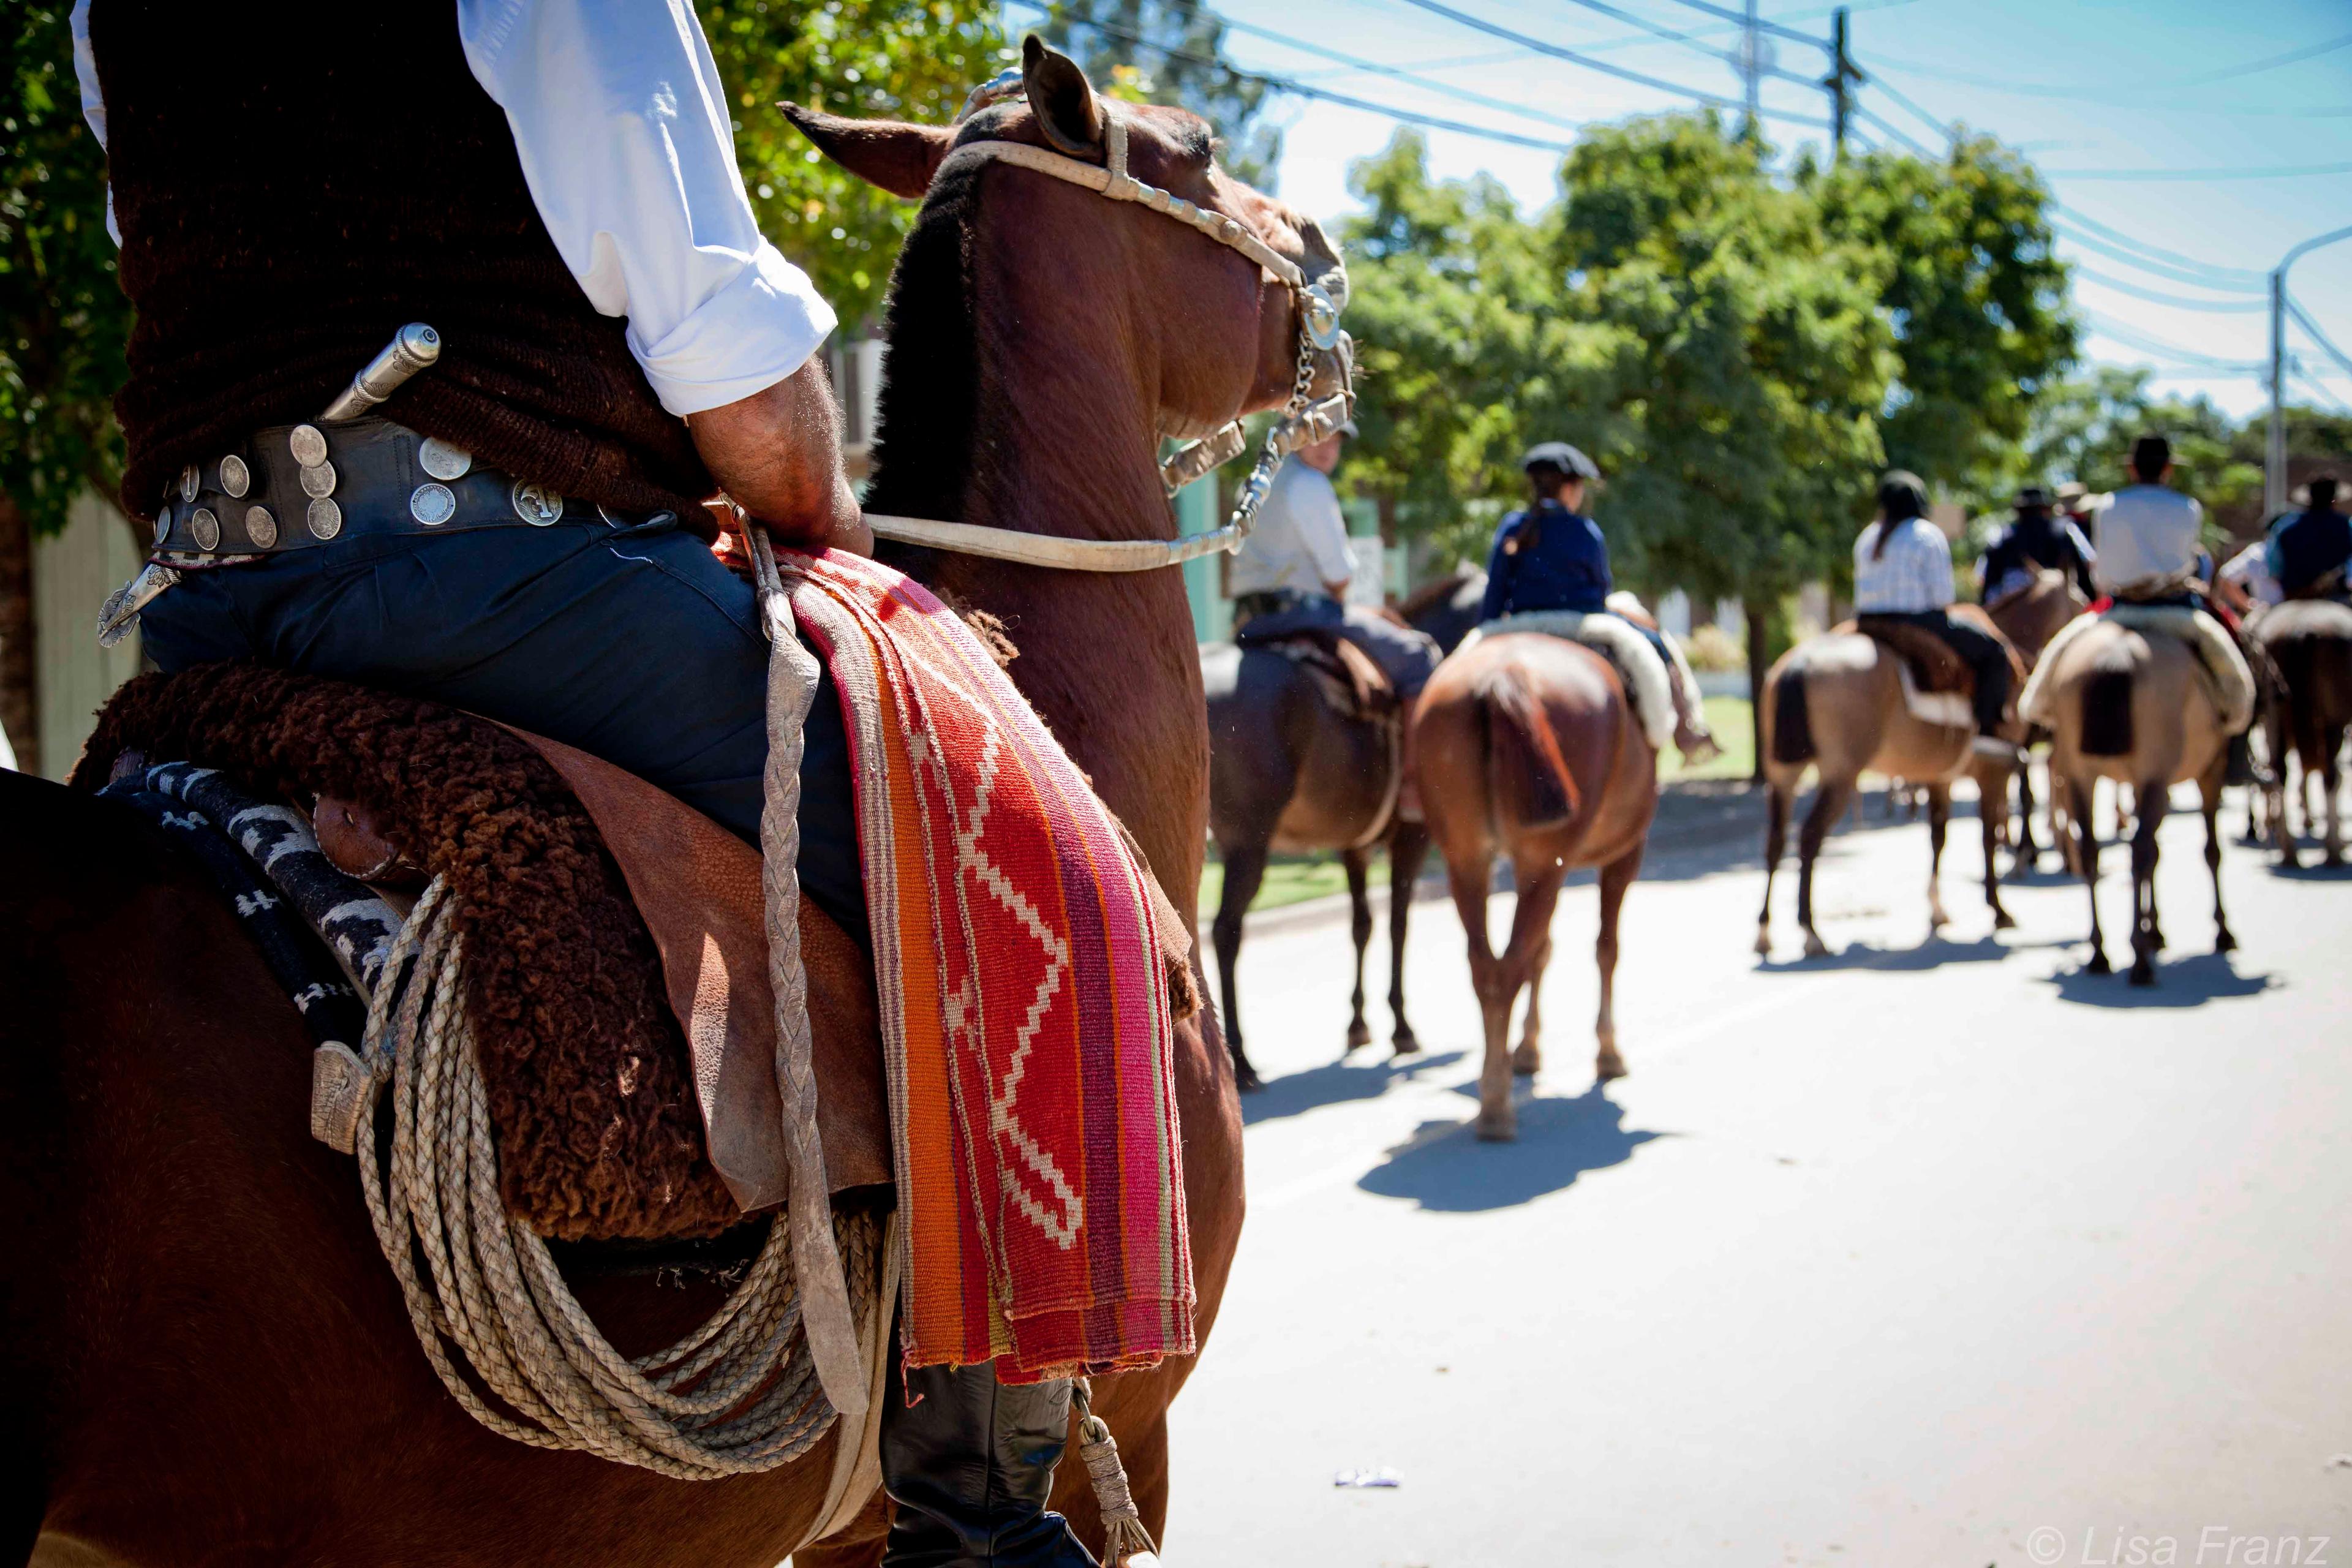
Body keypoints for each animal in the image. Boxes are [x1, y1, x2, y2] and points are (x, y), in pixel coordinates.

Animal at [1401, 635, 1665, 1142]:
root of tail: (1501, 678)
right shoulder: (1625, 853)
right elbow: (1606, 948)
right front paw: (1608, 1052)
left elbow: (1543, 951)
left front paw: (1526, 1048)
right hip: (1546, 862)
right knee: (1511, 966)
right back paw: (1498, 1105)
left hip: (1467, 862)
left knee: (1488, 966)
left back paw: (1495, 1083)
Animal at [1759, 611, 2032, 959]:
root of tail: (1800, 663)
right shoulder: (1993, 775)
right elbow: (1986, 839)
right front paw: (1997, 909)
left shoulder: (1939, 778)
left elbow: (1939, 837)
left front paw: (1937, 908)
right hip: (1841, 775)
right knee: (1810, 836)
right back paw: (1810, 931)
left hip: (1782, 775)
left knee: (1775, 841)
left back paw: (1765, 931)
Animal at [2032, 620, 2230, 987]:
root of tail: (2116, 654)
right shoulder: (2210, 768)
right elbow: (2210, 851)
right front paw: (2222, 932)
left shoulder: (2141, 783)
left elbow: (2157, 853)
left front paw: (2155, 930)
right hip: (2155, 771)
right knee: (2138, 852)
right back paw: (2139, 962)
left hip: (2081, 772)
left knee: (2092, 850)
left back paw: (2100, 953)